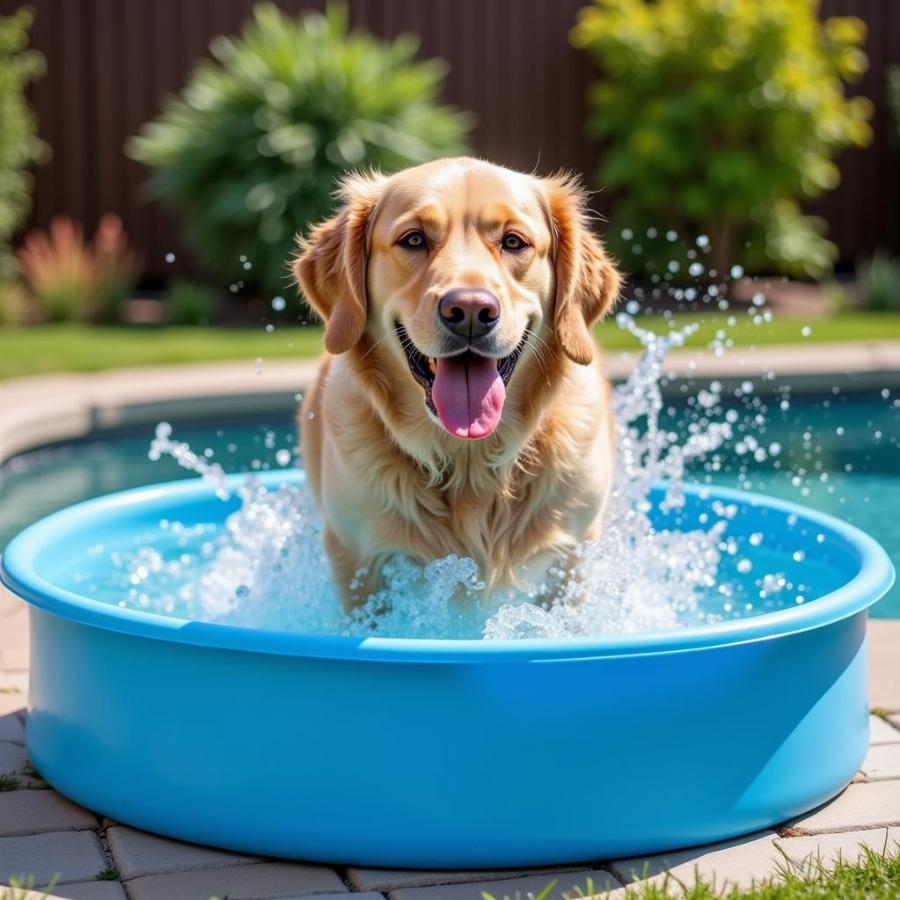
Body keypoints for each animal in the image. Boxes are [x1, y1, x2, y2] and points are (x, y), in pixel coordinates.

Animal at [296, 160, 620, 612]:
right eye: (414, 239)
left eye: (513, 242)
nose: (469, 310)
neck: (470, 464)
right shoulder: (356, 559)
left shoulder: (574, 557)